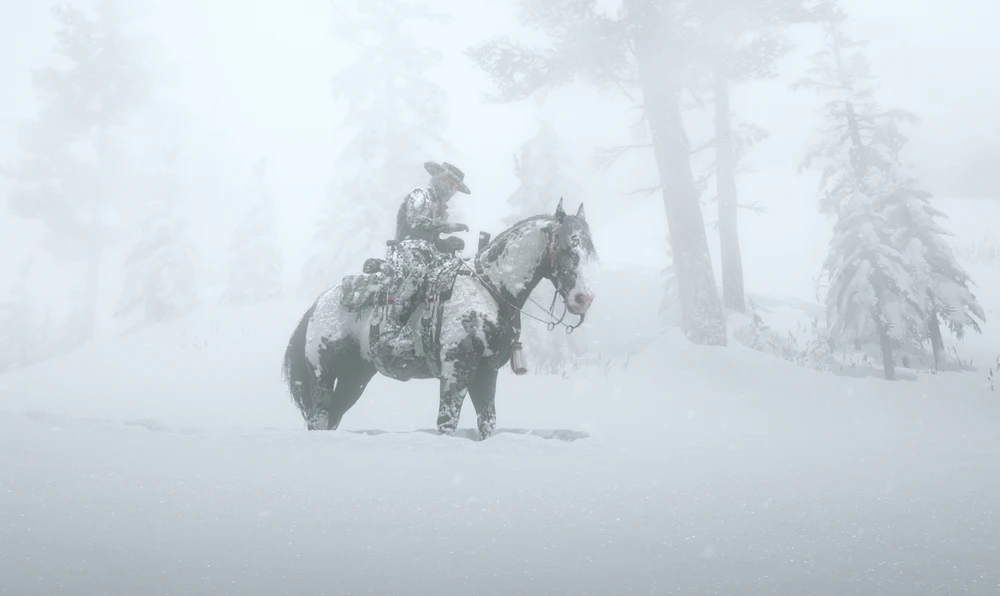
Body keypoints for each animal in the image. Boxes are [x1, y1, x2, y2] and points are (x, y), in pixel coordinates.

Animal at [281, 199, 597, 440]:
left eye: (589, 251)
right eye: (568, 247)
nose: (583, 298)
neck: (489, 288)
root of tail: (318, 304)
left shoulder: (486, 372)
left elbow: (487, 422)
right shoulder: (456, 369)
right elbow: (447, 422)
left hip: (355, 377)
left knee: (331, 418)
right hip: (323, 374)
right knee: (320, 418)